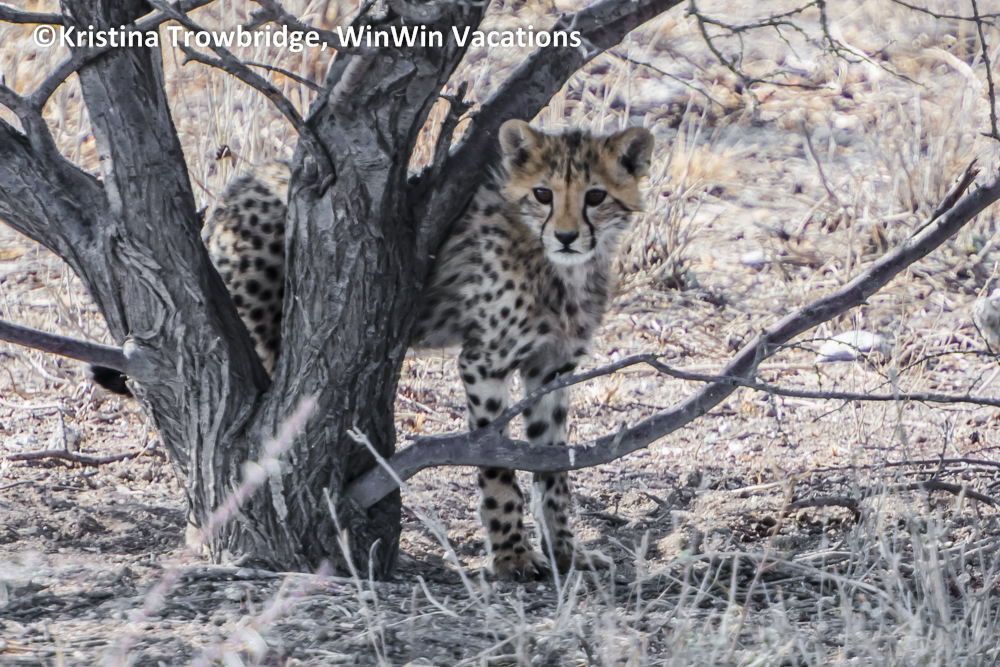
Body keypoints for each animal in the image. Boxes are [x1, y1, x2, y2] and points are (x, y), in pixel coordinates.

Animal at [90, 120, 654, 581]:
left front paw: (566, 552)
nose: (566, 236)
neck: (560, 269)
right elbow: (496, 464)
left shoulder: (550, 370)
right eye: (542, 193)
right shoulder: (485, 363)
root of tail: (249, 178)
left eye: (595, 195)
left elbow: (552, 467)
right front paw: (512, 556)